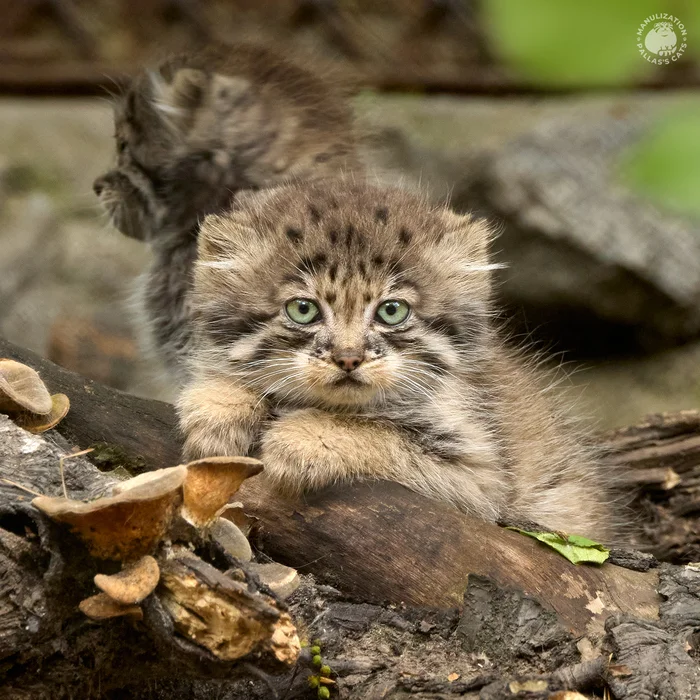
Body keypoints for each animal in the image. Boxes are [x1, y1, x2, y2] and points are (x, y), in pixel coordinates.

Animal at [178, 178, 616, 540]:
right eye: (303, 309)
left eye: (392, 311)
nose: (349, 359)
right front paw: (217, 407)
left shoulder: (480, 480)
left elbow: (381, 436)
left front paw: (305, 438)